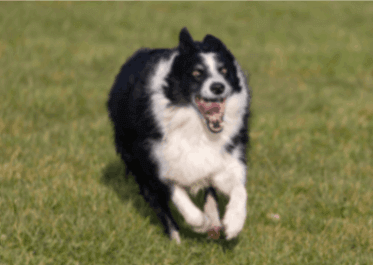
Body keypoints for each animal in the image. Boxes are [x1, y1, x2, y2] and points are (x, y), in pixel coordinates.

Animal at [107, 27, 250, 243]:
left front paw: (233, 222)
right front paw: (201, 224)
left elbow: (239, 188)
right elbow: (179, 197)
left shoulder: (226, 154)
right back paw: (176, 237)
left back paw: (214, 220)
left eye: (224, 71)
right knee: (157, 201)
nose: (218, 87)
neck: (197, 126)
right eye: (197, 73)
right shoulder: (155, 159)